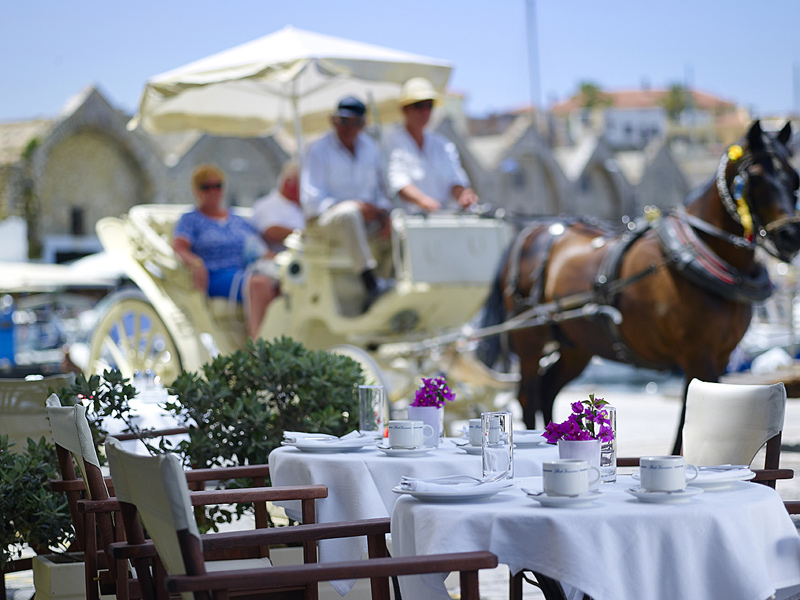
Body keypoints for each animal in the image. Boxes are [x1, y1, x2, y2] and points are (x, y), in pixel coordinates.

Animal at [478, 119, 800, 452]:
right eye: (755, 177)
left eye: (794, 178)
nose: (791, 235)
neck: (700, 252)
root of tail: (532, 231)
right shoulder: (697, 355)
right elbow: (688, 416)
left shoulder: (721, 356)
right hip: (529, 338)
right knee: (527, 394)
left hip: (577, 344)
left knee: (548, 388)